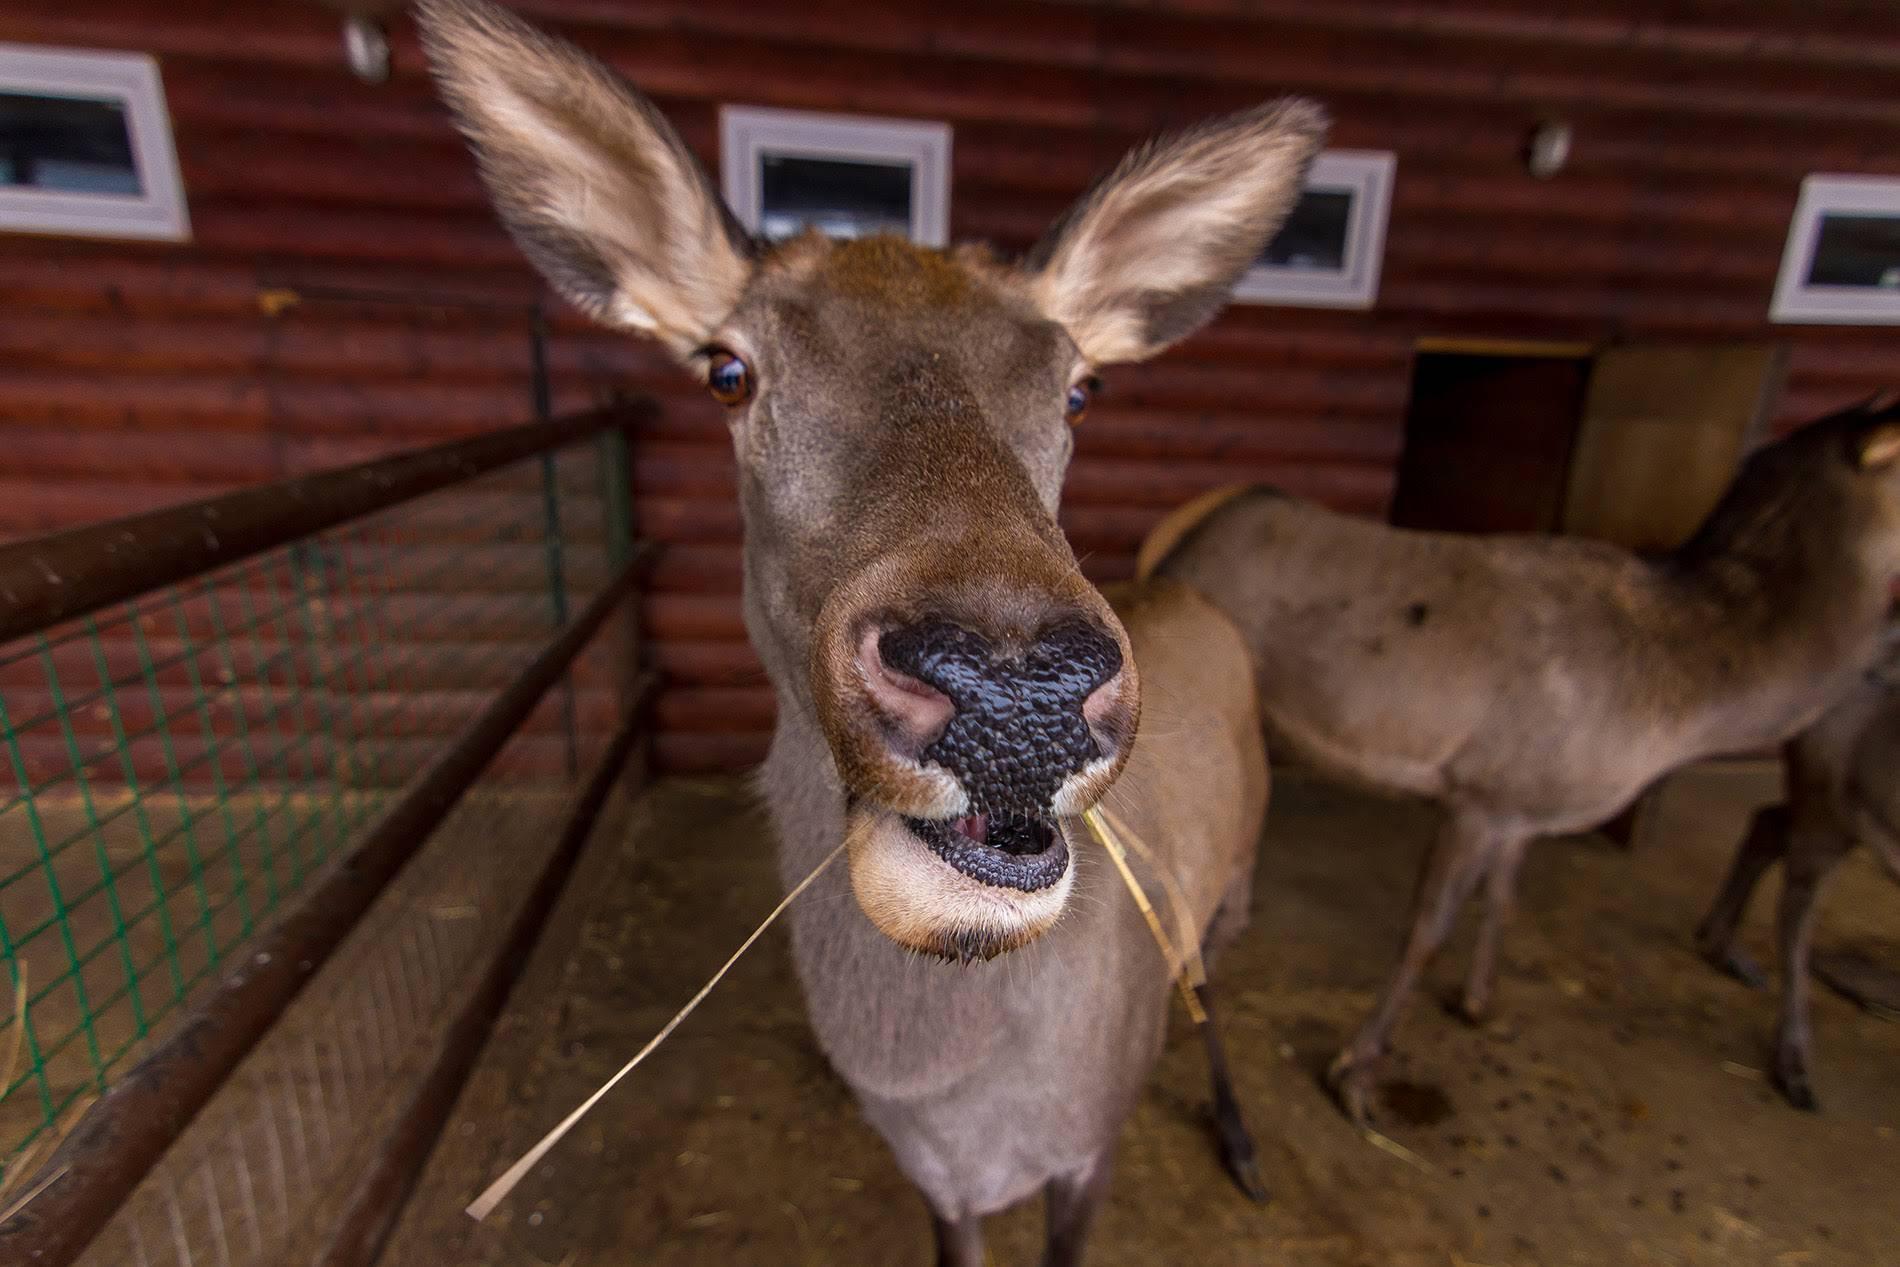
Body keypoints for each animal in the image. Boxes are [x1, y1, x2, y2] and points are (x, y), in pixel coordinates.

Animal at [421, 4, 1322, 1261]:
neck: (959, 1095)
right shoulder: (933, 1179)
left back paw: (1241, 1140)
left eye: (1078, 387)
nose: (1014, 691)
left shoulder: (1089, 1147)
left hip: (1233, 876)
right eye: (728, 369)